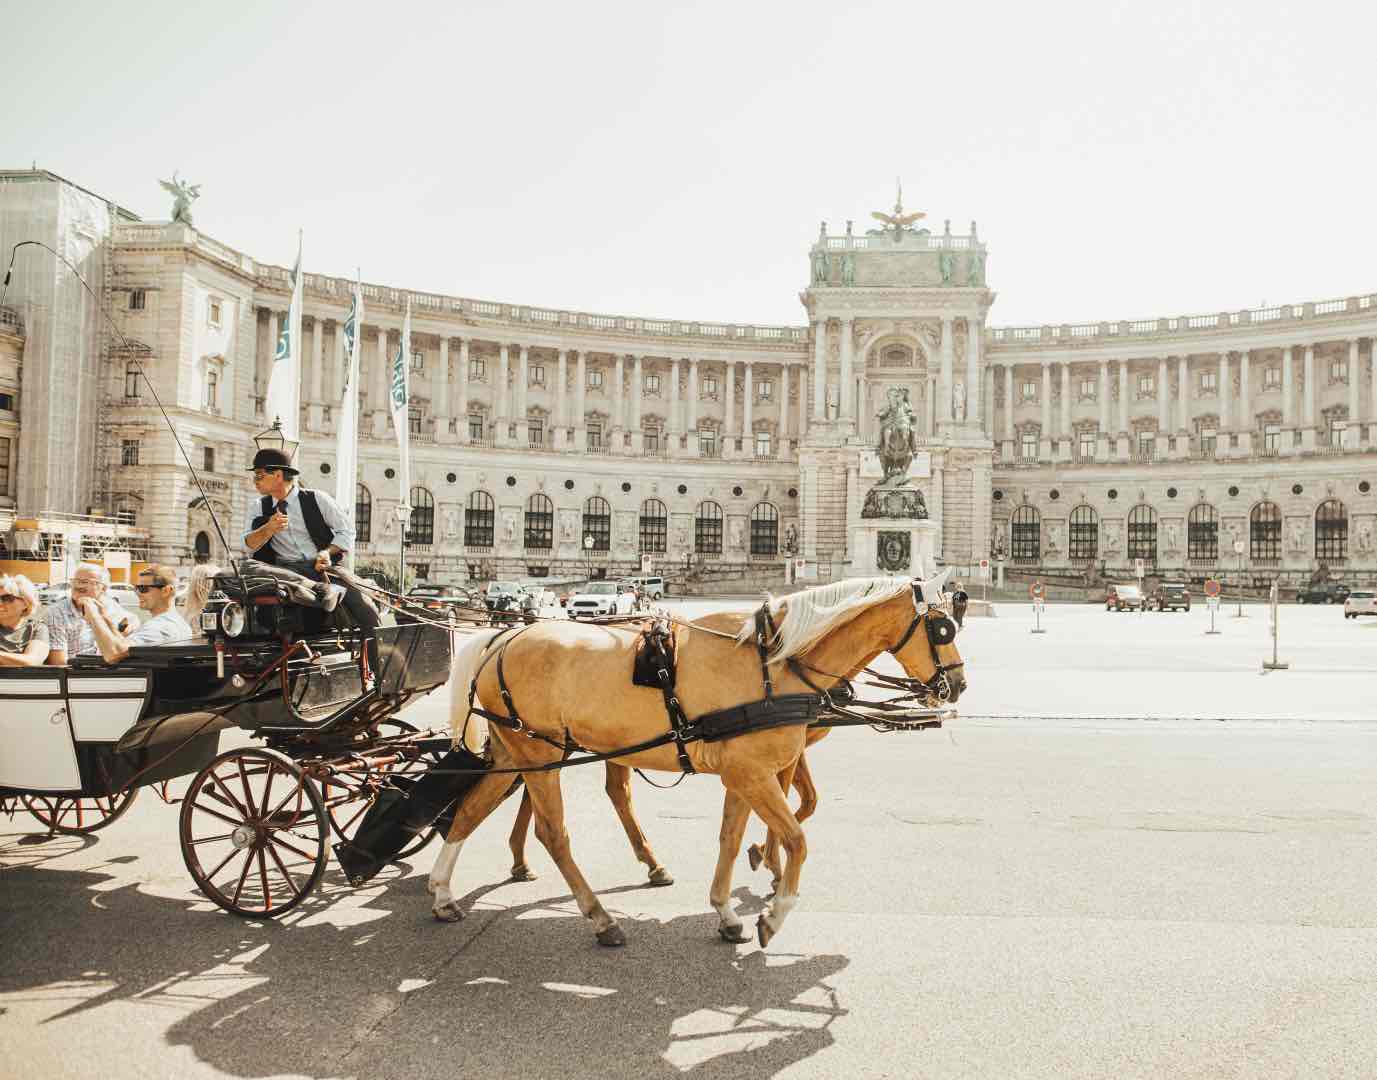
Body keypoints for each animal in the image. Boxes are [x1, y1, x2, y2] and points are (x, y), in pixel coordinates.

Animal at [424, 573, 963, 947]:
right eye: (942, 628)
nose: (957, 685)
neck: (773, 665)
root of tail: (503, 636)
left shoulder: (744, 774)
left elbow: (732, 839)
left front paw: (727, 911)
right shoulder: (754, 772)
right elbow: (798, 837)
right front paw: (774, 911)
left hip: (519, 751)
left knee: (472, 808)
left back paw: (444, 893)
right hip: (541, 750)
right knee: (553, 832)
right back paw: (600, 918)